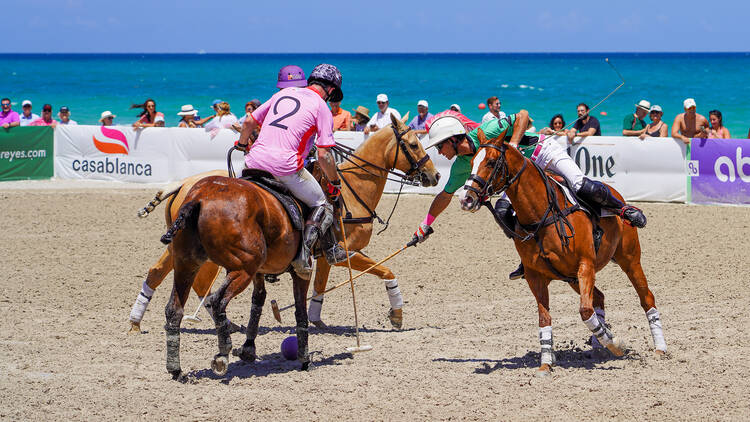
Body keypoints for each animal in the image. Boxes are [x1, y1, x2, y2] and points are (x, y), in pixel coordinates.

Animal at [462, 129, 668, 376]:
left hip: (629, 259)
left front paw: (617, 344)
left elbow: (585, 311)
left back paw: (659, 348)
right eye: (472, 161)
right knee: (599, 297)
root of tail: (617, 193)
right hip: (572, 278)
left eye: (492, 162)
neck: (541, 215)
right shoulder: (535, 276)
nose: (466, 199)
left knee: (646, 297)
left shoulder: (586, 265)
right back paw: (598, 346)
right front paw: (546, 363)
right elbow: (545, 318)